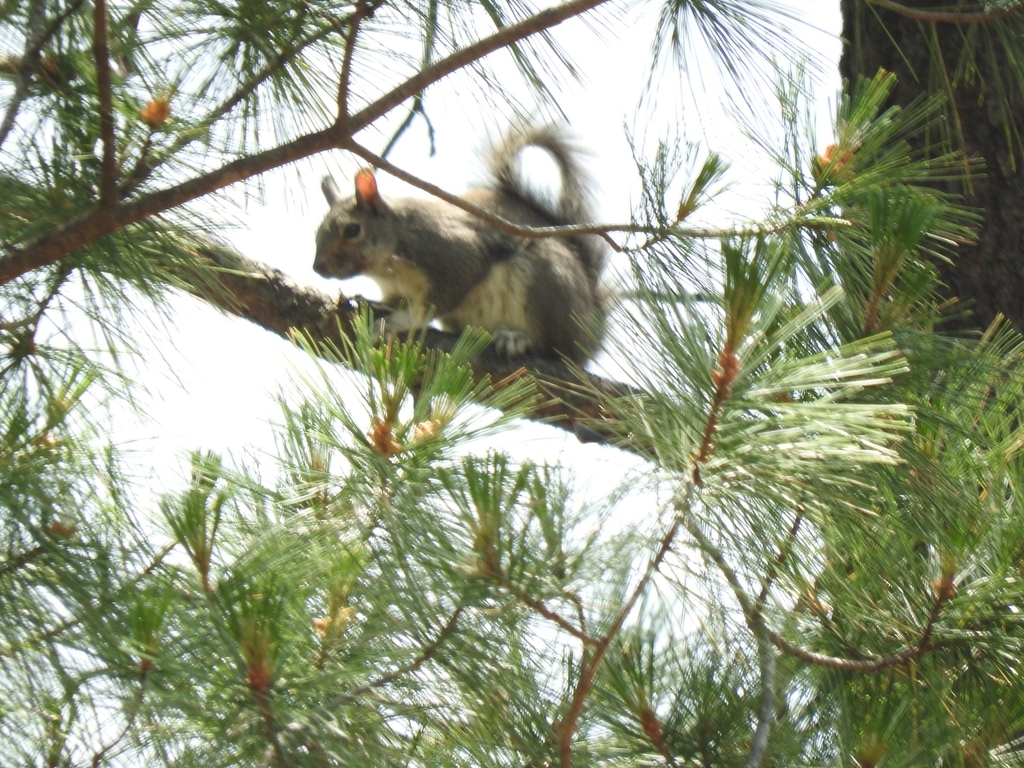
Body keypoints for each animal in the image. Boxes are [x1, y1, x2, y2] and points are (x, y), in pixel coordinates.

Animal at [311, 124, 606, 364]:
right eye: (316, 232)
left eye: (352, 230)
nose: (318, 268)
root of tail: (592, 332)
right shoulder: (396, 288)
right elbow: (393, 300)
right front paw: (370, 301)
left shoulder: (452, 256)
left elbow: (432, 303)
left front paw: (398, 322)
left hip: (546, 285)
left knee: (555, 349)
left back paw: (517, 338)